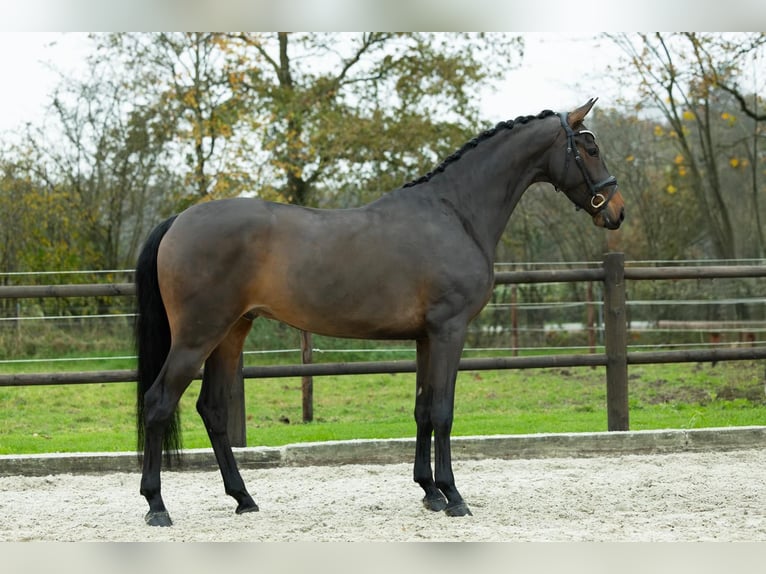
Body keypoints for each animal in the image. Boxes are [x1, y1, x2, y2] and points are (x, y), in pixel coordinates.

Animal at [134, 98, 624, 528]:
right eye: (590, 148)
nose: (616, 212)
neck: (455, 213)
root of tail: (178, 221)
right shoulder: (449, 331)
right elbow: (443, 411)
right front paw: (454, 496)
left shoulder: (426, 337)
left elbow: (423, 409)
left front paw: (430, 492)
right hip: (197, 336)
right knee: (158, 403)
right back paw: (157, 506)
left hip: (231, 333)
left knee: (213, 410)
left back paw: (243, 498)